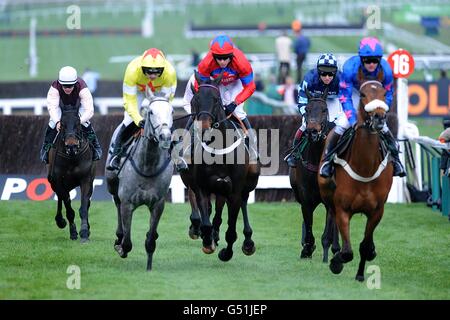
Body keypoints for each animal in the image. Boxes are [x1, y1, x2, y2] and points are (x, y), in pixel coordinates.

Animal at [48, 105, 96, 242]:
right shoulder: (59, 181)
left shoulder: (86, 179)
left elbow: (84, 207)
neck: (72, 158)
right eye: (62, 124)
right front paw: (73, 232)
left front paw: (84, 231)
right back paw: (60, 220)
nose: (71, 146)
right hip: (54, 182)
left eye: (78, 123)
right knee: (60, 198)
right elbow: (69, 209)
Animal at [105, 91, 174, 272]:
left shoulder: (158, 204)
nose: (165, 137)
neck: (148, 165)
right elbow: (127, 243)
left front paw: (149, 267)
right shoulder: (127, 203)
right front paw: (121, 247)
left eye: (171, 111)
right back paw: (118, 237)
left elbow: (150, 240)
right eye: (151, 112)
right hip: (112, 185)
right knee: (116, 204)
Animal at [290, 86, 340, 262]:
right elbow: (308, 223)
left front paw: (327, 254)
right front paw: (307, 248)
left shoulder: (331, 198)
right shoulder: (305, 197)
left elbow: (328, 232)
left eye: (324, 110)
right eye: (307, 110)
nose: (312, 131)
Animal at [316, 79, 394, 280]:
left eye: (384, 93)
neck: (365, 168)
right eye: (363, 94)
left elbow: (364, 246)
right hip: (328, 196)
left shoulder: (377, 211)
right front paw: (336, 261)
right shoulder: (343, 209)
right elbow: (347, 252)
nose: (379, 118)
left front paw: (360, 274)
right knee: (331, 215)